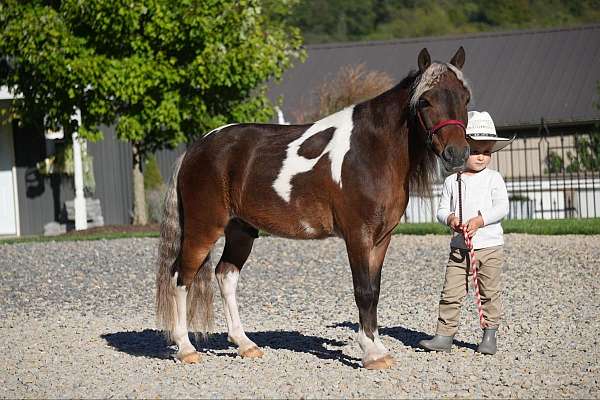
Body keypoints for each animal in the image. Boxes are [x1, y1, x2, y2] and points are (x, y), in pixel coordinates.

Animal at [156, 47, 474, 368]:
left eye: (465, 98)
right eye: (425, 100)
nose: (457, 154)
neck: (370, 151)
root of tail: (195, 149)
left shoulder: (381, 238)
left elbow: (375, 290)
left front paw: (378, 348)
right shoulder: (358, 236)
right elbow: (364, 290)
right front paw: (371, 353)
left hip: (241, 230)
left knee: (226, 276)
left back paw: (245, 344)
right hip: (203, 228)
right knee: (181, 277)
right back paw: (186, 348)